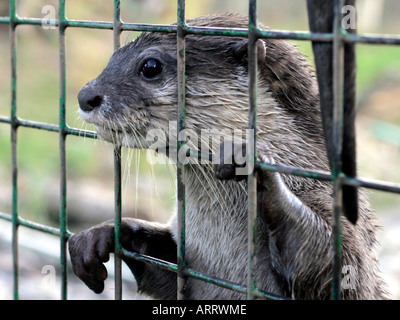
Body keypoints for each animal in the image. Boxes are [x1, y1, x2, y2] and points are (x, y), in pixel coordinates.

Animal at [68, 13, 388, 298]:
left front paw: (253, 165)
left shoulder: (340, 223)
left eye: (150, 66)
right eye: (113, 57)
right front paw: (104, 232)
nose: (85, 96)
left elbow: (338, 261)